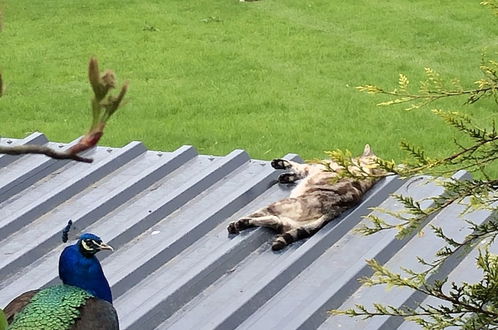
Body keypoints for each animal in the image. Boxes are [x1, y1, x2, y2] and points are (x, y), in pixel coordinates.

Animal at [228, 144, 384, 250]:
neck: (370, 171)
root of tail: (332, 211)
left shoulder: (315, 167)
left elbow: (300, 166)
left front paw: (280, 165)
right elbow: (299, 171)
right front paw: (286, 176)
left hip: (280, 205)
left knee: (262, 215)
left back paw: (237, 224)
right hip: (290, 222)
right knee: (274, 221)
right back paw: (244, 223)